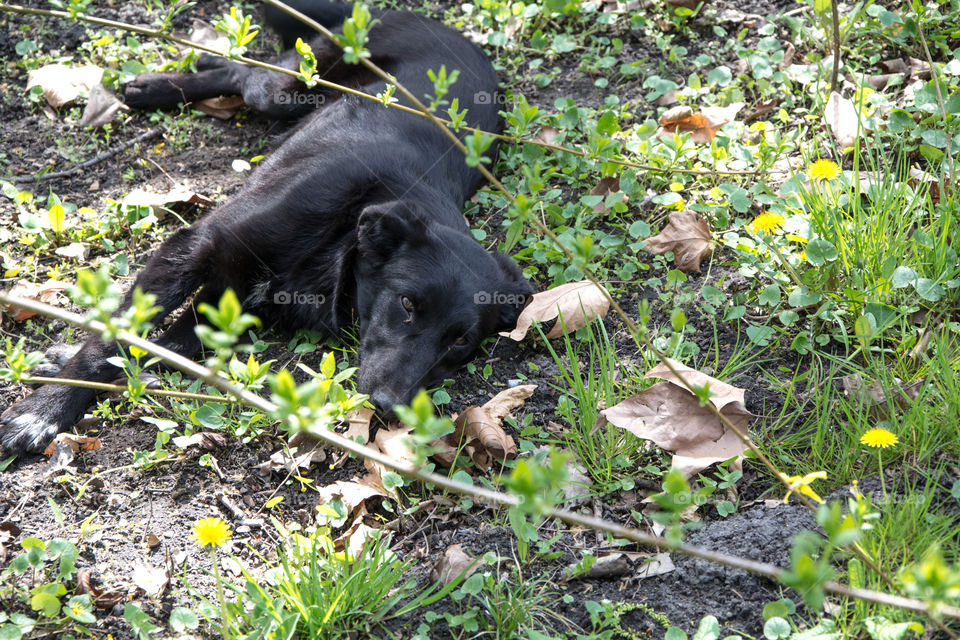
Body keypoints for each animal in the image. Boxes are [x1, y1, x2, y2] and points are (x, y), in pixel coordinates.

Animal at [0, 0, 532, 456]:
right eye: (406, 305)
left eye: (460, 342)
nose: (388, 407)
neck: (348, 232)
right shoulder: (196, 244)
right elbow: (113, 339)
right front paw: (43, 412)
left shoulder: (230, 304)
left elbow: (157, 348)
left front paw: (68, 367)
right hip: (288, 87)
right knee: (244, 73)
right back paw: (154, 86)